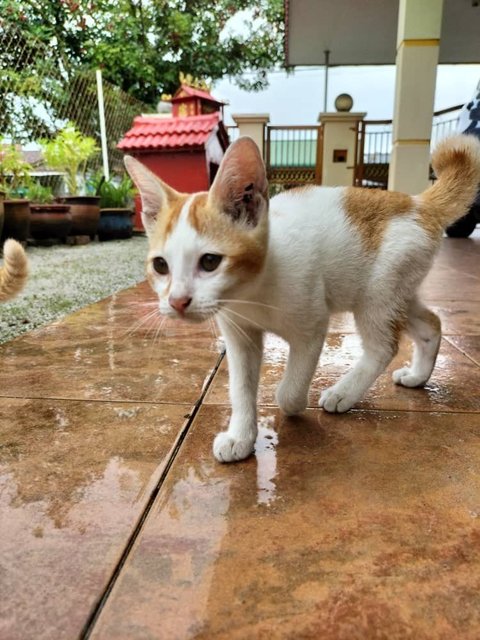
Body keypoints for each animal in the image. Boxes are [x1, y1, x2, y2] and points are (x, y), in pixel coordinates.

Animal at [124, 135, 480, 462]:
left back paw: (343, 393)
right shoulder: (240, 335)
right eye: (160, 266)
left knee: (383, 347)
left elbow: (290, 388)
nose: (177, 302)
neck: (252, 291)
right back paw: (417, 375)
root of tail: (419, 204)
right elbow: (241, 386)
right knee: (431, 322)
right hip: (398, 291)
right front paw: (241, 436)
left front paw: (291, 401)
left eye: (210, 261)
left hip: (377, 292)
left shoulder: (312, 325)